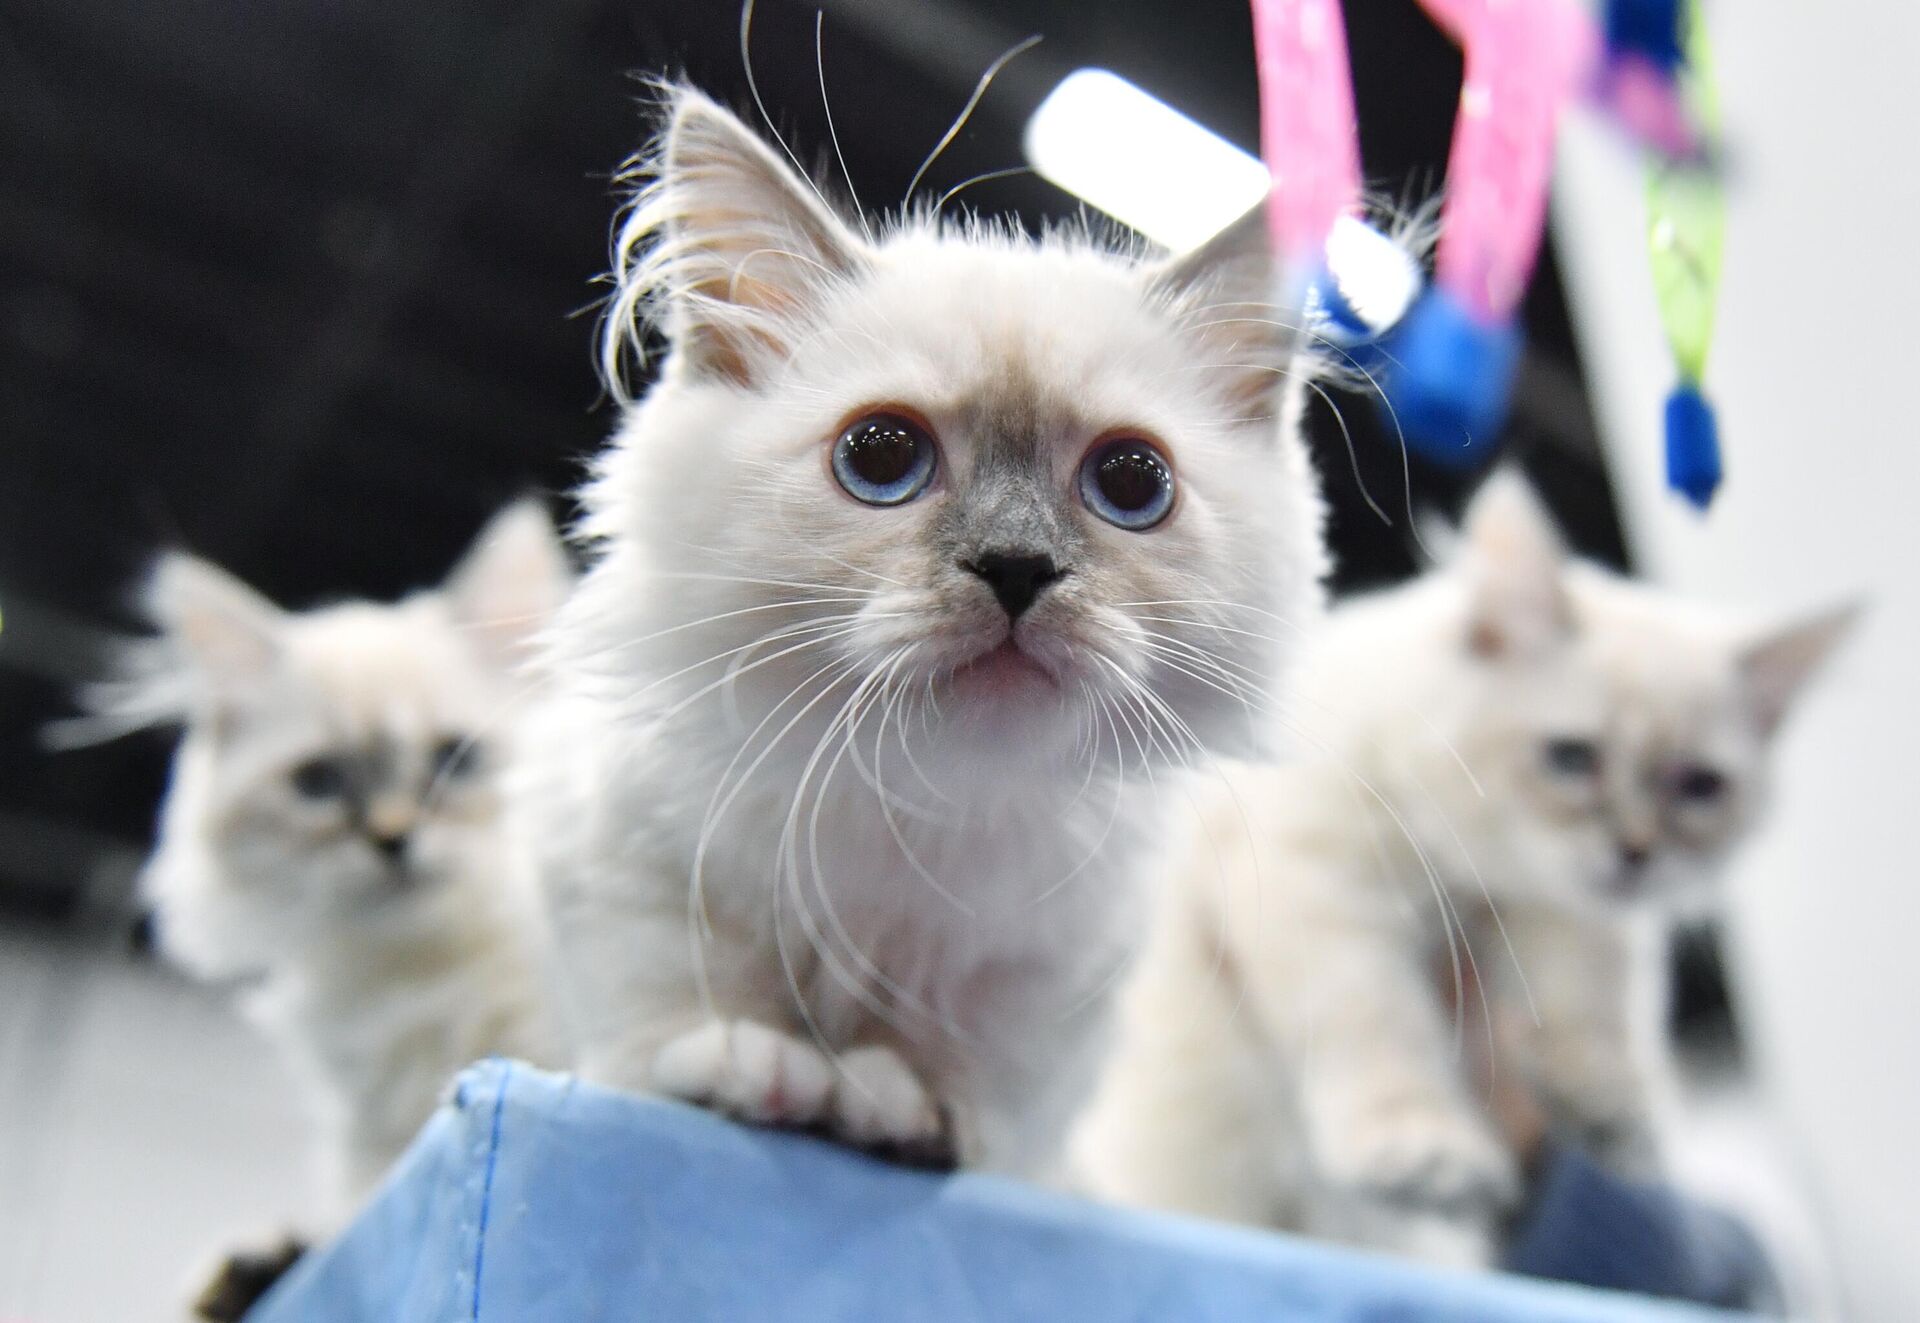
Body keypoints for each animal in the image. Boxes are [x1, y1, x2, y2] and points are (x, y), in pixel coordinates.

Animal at [522, 87, 1336, 1175]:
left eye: (1131, 483)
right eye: (881, 457)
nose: (1016, 567)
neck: (922, 799)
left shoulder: (1048, 978)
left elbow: (970, 1072)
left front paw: (906, 1108)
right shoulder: (618, 853)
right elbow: (680, 996)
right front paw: (749, 1065)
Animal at [1075, 472, 1850, 1259]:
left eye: (1698, 787)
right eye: (1572, 758)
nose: (1636, 853)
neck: (1473, 871)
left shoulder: (1568, 915)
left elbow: (1594, 1008)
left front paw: (1614, 1118)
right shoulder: (1326, 887)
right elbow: (1380, 1025)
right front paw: (1425, 1153)